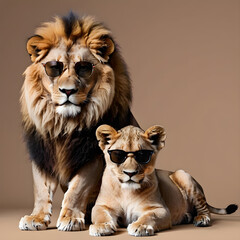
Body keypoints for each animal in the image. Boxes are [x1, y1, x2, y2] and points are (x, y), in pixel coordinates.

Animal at [18, 12, 139, 231]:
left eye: (84, 68)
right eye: (54, 68)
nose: (68, 91)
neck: (64, 125)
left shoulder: (92, 157)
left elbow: (77, 189)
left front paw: (71, 219)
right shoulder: (42, 154)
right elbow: (40, 189)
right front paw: (36, 218)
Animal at [89, 124, 237, 237]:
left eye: (143, 155)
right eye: (118, 155)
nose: (130, 173)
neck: (127, 191)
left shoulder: (161, 209)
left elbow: (149, 216)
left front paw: (141, 226)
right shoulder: (101, 205)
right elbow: (100, 214)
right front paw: (101, 226)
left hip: (183, 175)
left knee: (204, 208)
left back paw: (202, 219)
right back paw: (186, 217)